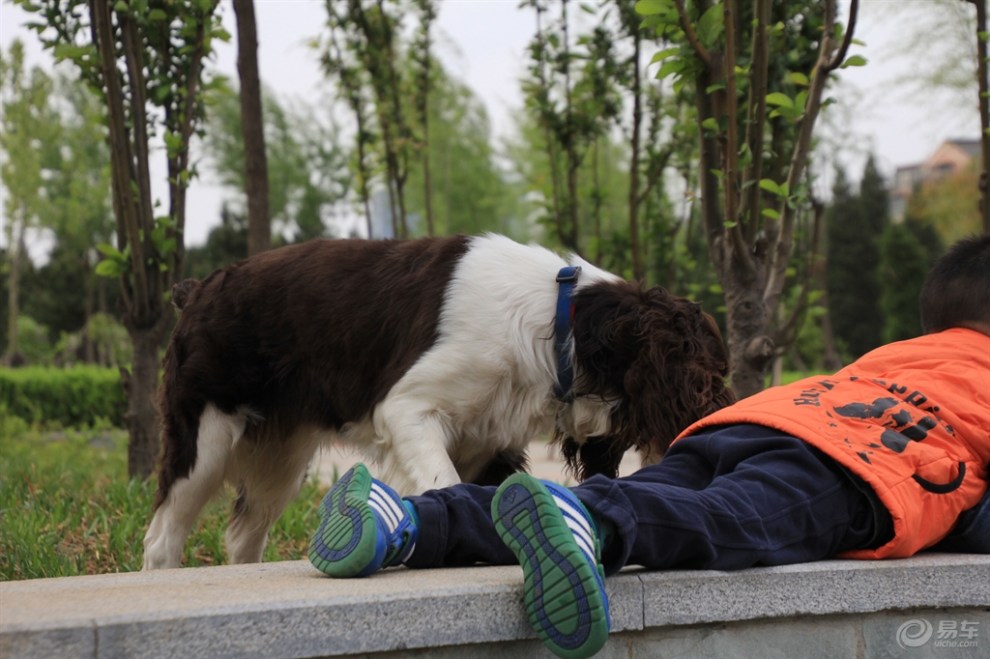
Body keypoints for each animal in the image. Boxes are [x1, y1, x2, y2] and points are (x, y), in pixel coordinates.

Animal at [145, 235, 736, 568]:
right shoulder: (407, 409)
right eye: (708, 381)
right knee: (163, 536)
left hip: (280, 458)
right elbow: (443, 483)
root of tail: (197, 289)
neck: (560, 325)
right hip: (205, 441)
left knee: (243, 536)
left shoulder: (493, 441)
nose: (720, 412)